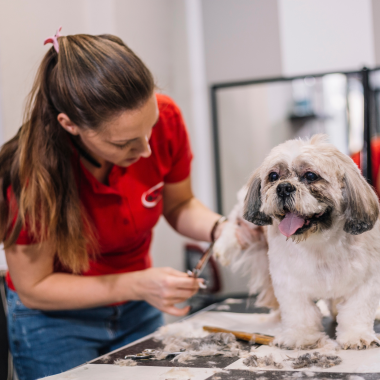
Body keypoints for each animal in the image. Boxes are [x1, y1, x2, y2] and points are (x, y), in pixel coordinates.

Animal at [214, 136, 380, 350]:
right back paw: (223, 246)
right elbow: (300, 313)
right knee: (233, 220)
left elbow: (356, 311)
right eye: (273, 176)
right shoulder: (290, 283)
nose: (284, 187)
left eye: (310, 176)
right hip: (244, 217)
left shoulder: (365, 281)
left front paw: (356, 336)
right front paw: (302, 337)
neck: (320, 243)